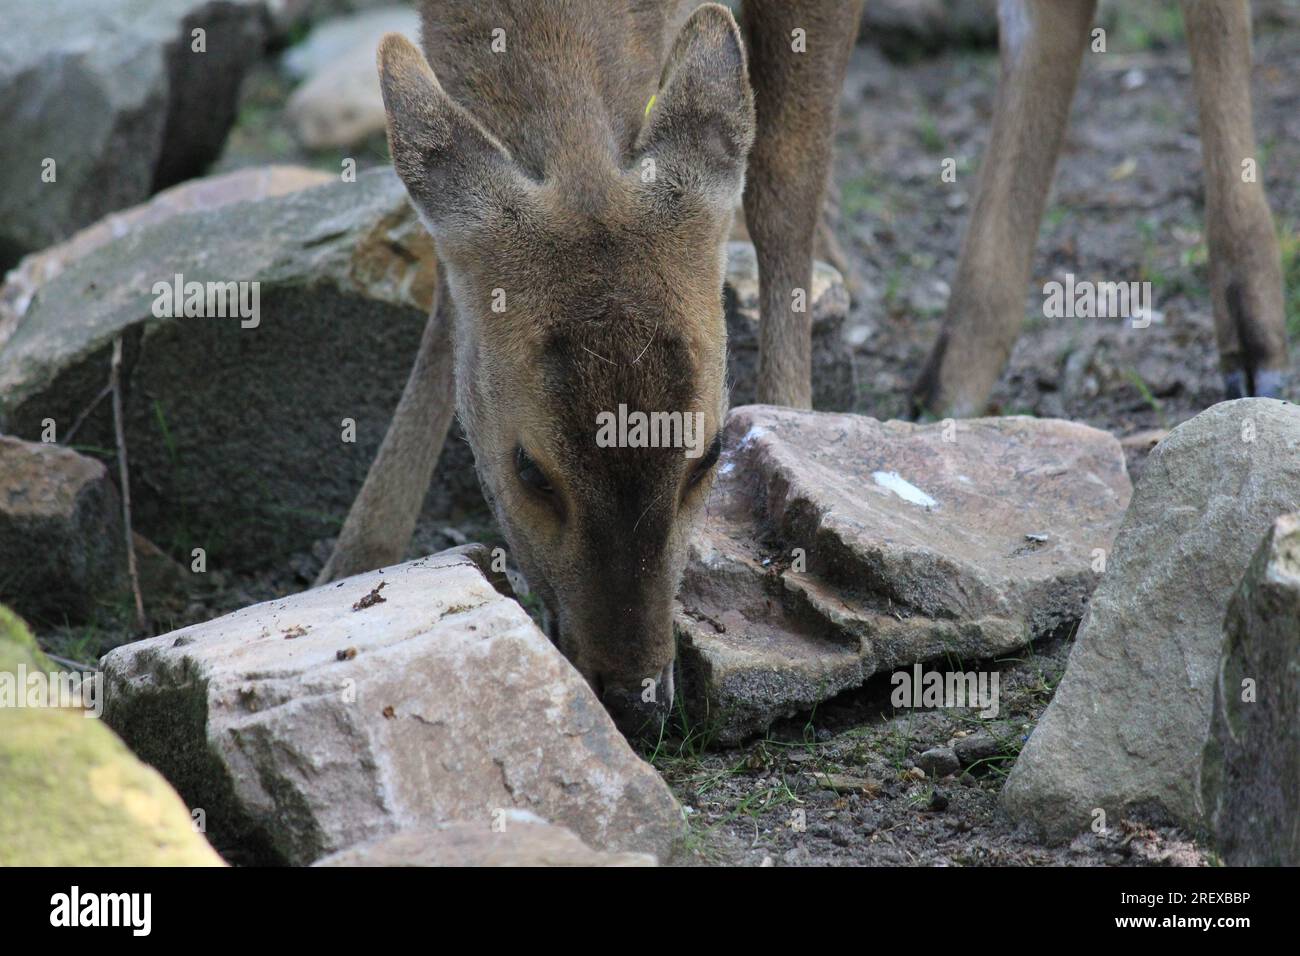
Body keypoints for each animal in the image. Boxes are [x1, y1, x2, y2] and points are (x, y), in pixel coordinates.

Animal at [317, 0, 1288, 739]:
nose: (636, 703)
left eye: (709, 454)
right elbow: (447, 291)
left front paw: (796, 442)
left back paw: (1257, 340)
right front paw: (351, 562)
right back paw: (952, 371)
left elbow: (786, 168)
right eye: (528, 469)